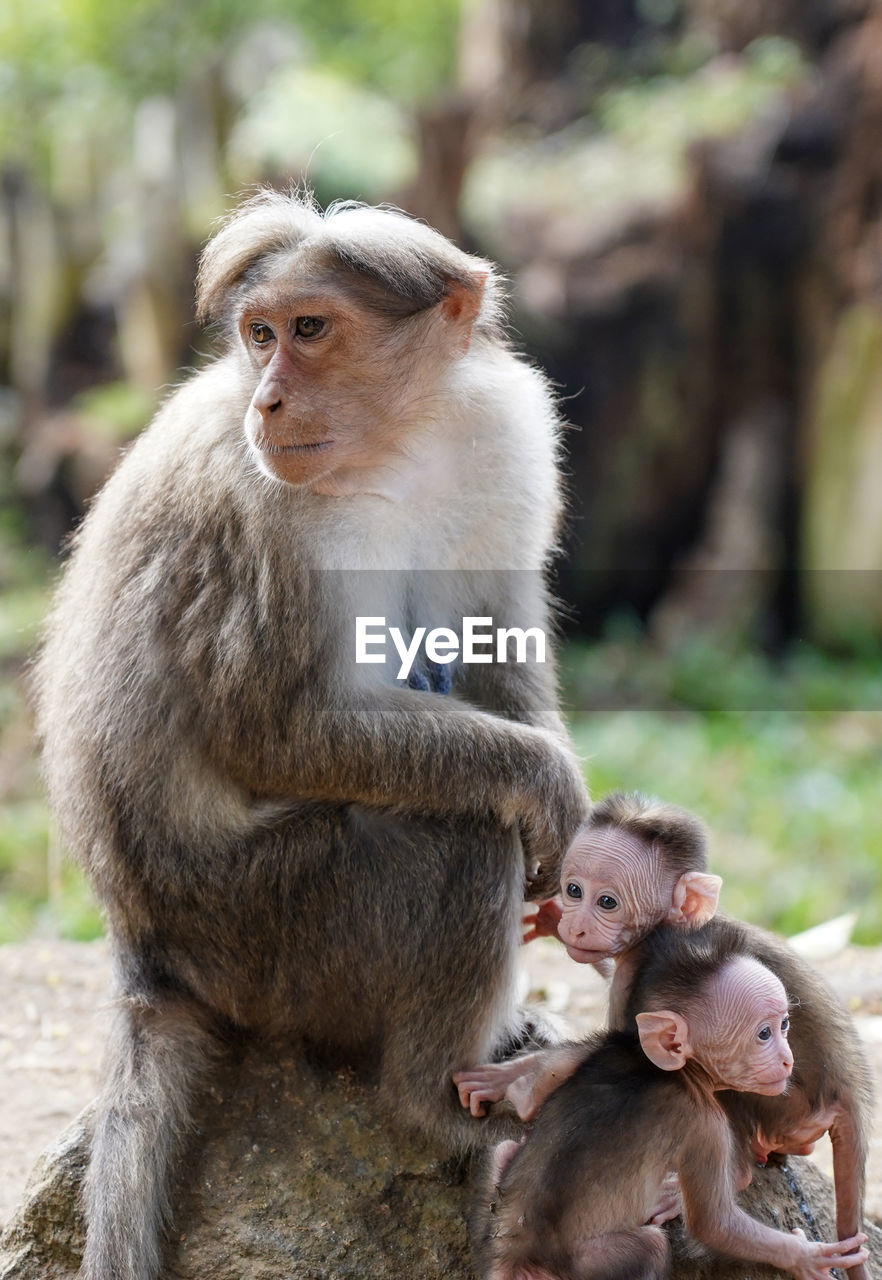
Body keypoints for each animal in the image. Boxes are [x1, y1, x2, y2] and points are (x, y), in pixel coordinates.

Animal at [471, 942, 865, 1280]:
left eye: (785, 1025)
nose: (787, 1060)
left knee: (504, 1150)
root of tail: (517, 1257)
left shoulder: (614, 1043)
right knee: (651, 1246)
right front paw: (805, 1256)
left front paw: (512, 1083)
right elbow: (714, 1223)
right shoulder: (706, 1125)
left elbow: (551, 1074)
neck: (678, 1072)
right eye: (764, 1034)